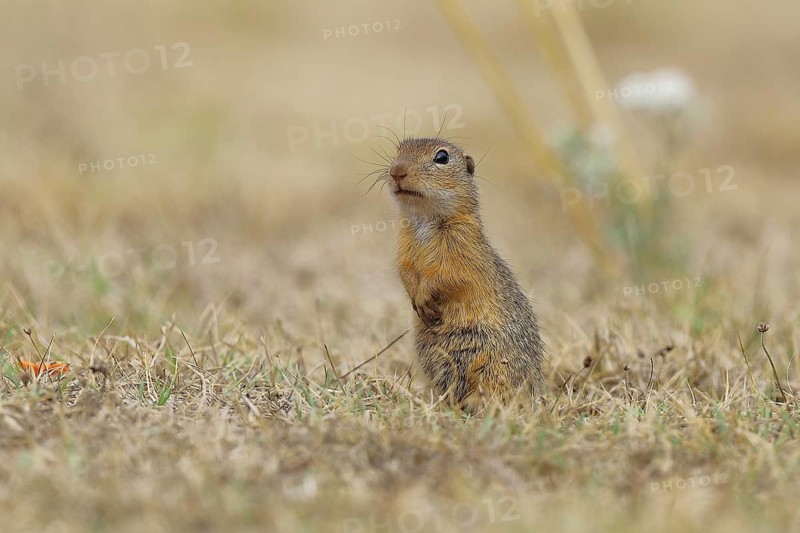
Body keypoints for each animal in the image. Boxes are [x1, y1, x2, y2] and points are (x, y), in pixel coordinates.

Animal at [383, 137, 545, 410]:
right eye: (398, 151)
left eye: (442, 157)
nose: (397, 171)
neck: (424, 220)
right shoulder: (404, 251)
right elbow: (406, 272)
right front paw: (417, 300)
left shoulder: (461, 249)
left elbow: (446, 275)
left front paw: (424, 298)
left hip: (492, 365)